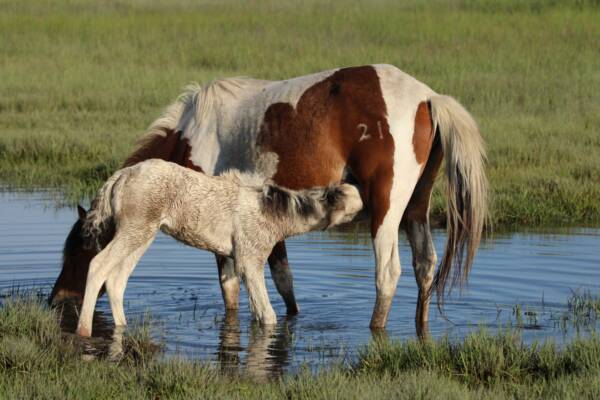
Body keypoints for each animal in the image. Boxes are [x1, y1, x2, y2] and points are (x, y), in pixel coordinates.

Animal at [49, 64, 486, 330]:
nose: (56, 300)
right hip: (415, 208)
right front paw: (291, 321)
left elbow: (230, 286)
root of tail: (427, 97)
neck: (195, 132)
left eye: (78, 250)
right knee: (424, 266)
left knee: (387, 273)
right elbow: (283, 280)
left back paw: (375, 329)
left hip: (385, 211)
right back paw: (420, 328)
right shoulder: (263, 221)